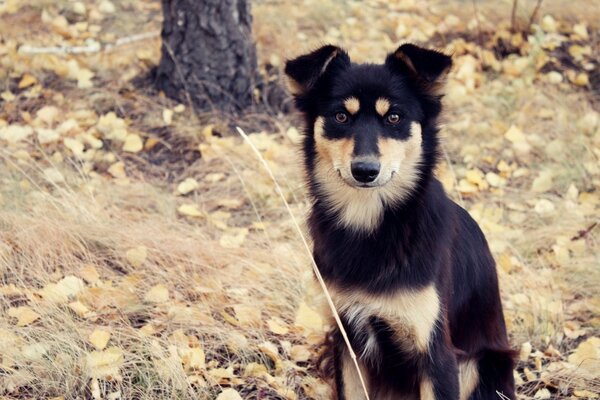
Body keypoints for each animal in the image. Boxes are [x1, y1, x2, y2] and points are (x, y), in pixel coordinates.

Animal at [286, 44, 516, 400]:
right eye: (341, 116)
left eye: (394, 117)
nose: (365, 170)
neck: (371, 224)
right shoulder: (346, 342)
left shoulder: (437, 354)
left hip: (482, 363)